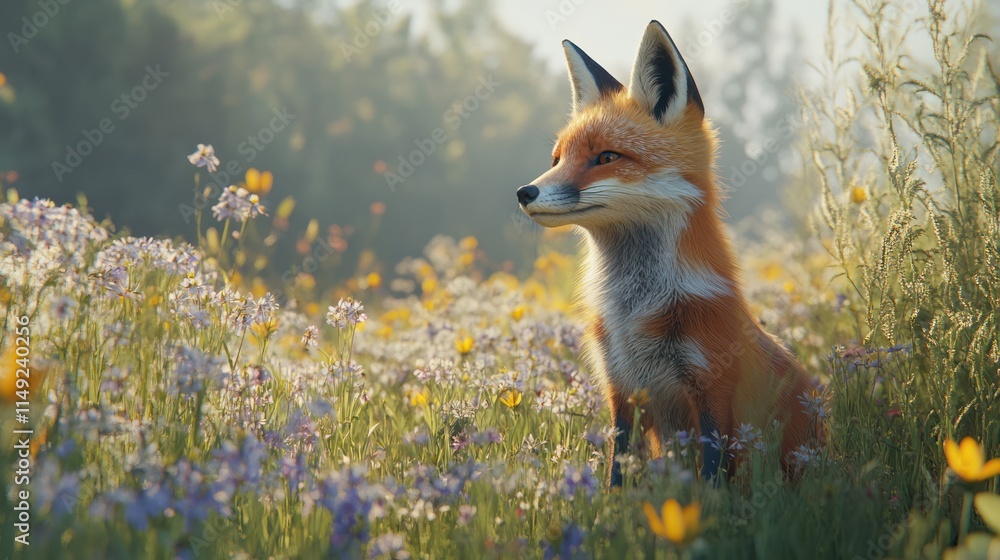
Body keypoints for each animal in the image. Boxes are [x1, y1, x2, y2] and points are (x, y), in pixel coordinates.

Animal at [516, 21, 823, 485]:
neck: (635, 311)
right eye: (557, 159)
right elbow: (617, 472)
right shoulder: (622, 390)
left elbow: (713, 478)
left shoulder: (714, 389)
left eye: (606, 157)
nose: (524, 192)